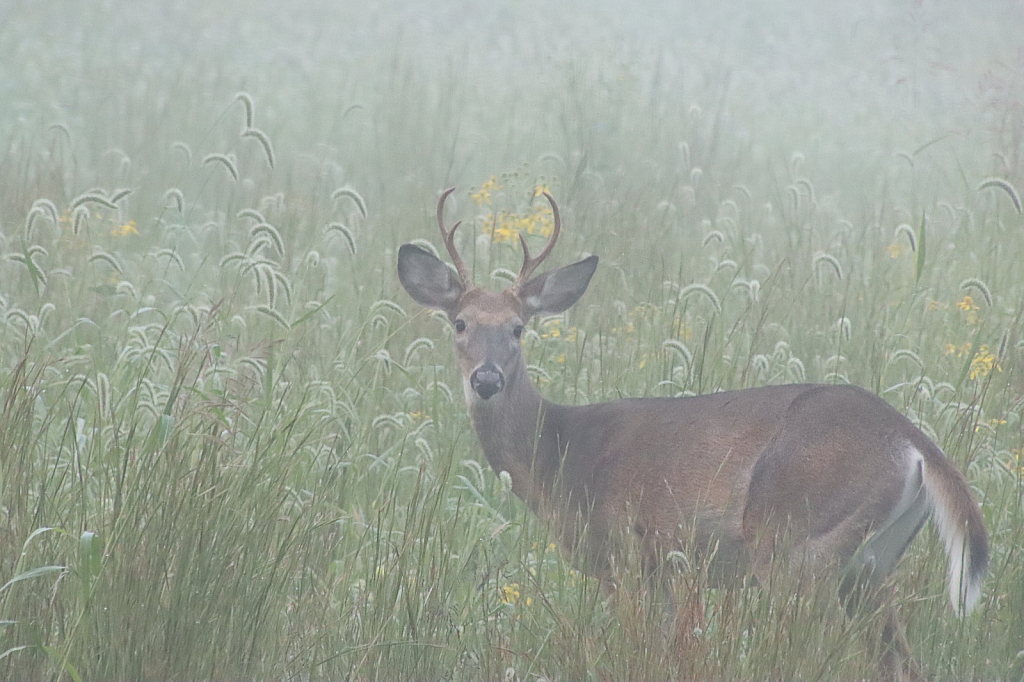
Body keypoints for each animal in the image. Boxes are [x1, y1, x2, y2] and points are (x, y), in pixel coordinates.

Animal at [395, 186, 987, 679]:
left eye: (518, 328)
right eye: (460, 323)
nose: (487, 379)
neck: (559, 456)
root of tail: (914, 441)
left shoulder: (625, 554)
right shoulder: (664, 572)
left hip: (800, 543)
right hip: (870, 564)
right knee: (903, 661)